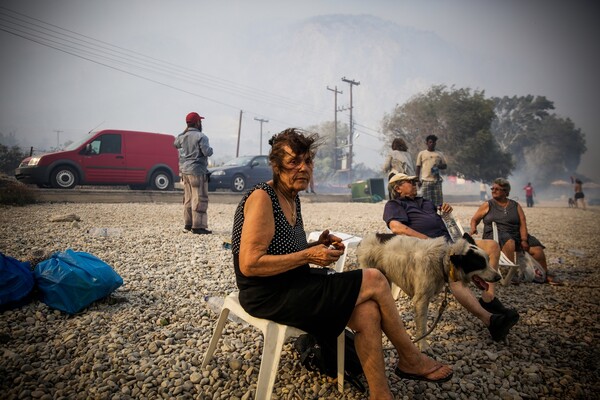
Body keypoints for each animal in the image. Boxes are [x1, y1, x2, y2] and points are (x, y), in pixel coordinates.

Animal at [356, 233, 502, 348]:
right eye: (480, 264)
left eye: (488, 260)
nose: (498, 277)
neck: (442, 259)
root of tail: (364, 239)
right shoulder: (421, 300)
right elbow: (422, 327)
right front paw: (423, 347)